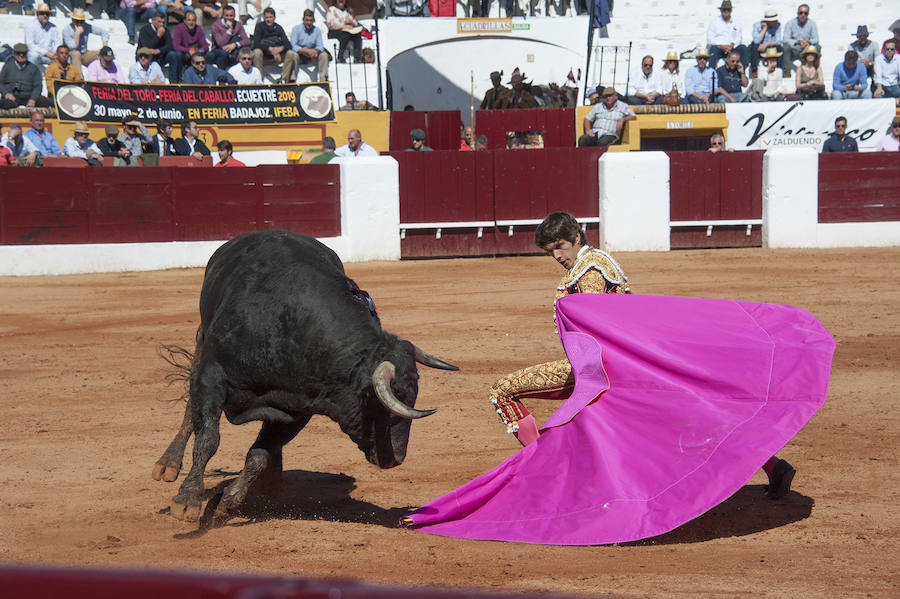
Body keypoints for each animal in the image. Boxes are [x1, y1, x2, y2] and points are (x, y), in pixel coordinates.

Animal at [152, 231, 458, 524]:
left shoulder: (297, 410)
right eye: (382, 404)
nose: (397, 459)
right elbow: (207, 438)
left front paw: (227, 504)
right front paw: (187, 501)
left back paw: (272, 483)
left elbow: (259, 455)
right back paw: (168, 465)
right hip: (202, 341)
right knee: (191, 411)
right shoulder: (211, 376)